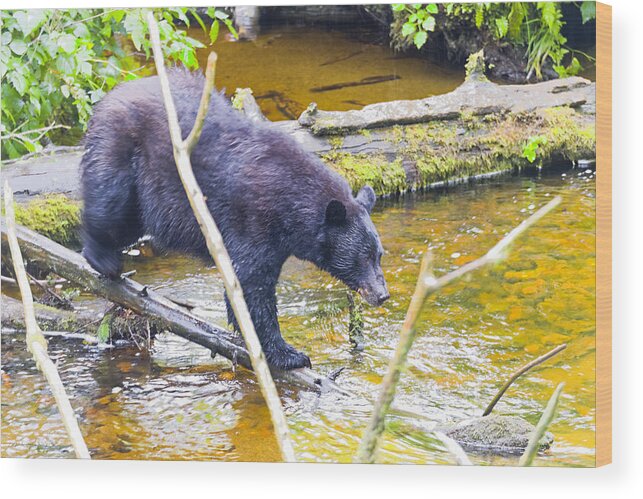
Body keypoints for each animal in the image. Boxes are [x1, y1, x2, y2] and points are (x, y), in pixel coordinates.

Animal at [82, 68, 392, 370]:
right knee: (110, 203)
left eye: (378, 255)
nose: (382, 294)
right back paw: (104, 259)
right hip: (123, 152)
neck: (291, 203)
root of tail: (111, 95)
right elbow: (250, 284)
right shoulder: (253, 220)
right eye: (363, 257)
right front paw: (287, 354)